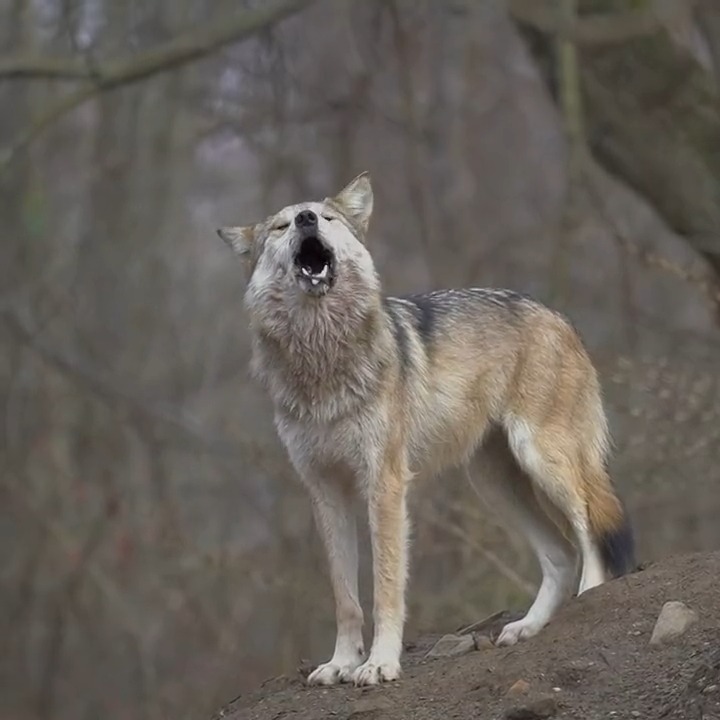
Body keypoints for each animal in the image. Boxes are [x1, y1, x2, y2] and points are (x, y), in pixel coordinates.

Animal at [216, 172, 635, 687]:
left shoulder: (385, 485)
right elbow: (345, 597)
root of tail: (557, 315)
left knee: (588, 526)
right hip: (494, 486)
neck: (323, 359)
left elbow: (385, 587)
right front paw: (341, 663)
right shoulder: (325, 492)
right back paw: (527, 627)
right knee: (560, 554)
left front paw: (380, 663)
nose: (307, 218)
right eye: (280, 225)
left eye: (327, 217)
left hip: (543, 459)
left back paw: (590, 594)